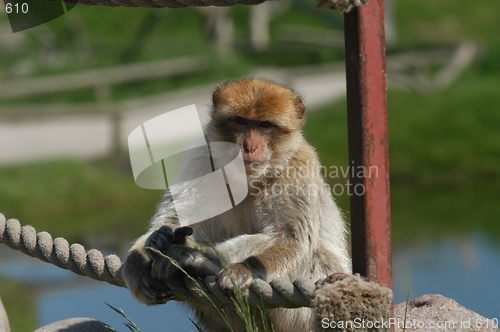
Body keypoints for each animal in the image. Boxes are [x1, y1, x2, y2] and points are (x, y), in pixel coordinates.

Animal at [122, 78, 352, 332]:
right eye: (240, 122)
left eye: (264, 125)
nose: (249, 146)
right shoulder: (202, 157)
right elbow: (174, 220)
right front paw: (140, 257)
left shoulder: (299, 164)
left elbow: (292, 240)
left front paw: (242, 269)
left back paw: (195, 258)